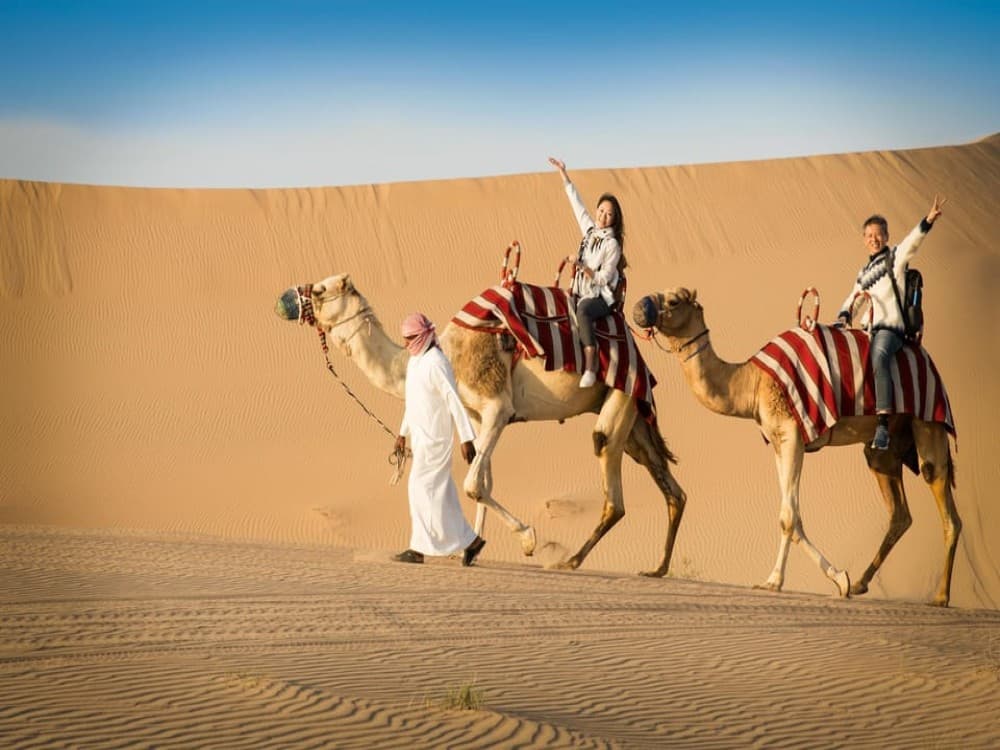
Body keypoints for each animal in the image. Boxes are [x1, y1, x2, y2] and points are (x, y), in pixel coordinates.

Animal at [277, 275, 687, 574]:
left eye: (320, 289)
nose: (284, 299)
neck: (446, 351)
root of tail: (636, 349)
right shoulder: (476, 415)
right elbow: (484, 477)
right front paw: (470, 549)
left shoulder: (496, 407)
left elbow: (474, 484)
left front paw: (527, 539)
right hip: (633, 415)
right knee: (671, 487)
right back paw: (658, 569)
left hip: (620, 392)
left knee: (610, 473)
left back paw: (570, 561)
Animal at [632, 287, 961, 606]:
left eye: (674, 300)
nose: (637, 308)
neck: (750, 383)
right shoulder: (778, 441)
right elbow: (793, 517)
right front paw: (840, 580)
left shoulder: (792, 435)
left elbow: (788, 517)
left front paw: (775, 581)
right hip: (885, 448)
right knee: (899, 513)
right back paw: (860, 583)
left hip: (928, 421)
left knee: (944, 503)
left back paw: (941, 597)